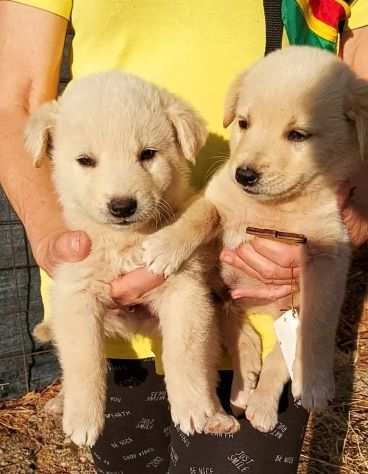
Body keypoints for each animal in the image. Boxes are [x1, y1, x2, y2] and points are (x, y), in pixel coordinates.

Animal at [25, 72, 239, 446]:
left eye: (148, 154)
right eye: (85, 161)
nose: (122, 206)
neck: (125, 242)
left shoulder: (186, 291)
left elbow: (185, 354)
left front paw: (192, 408)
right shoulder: (76, 295)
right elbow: (84, 361)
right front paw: (82, 418)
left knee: (208, 363)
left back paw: (216, 416)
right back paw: (61, 403)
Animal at [143, 47, 368, 434]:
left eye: (298, 135)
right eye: (243, 123)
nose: (244, 174)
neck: (274, 210)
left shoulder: (329, 251)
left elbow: (318, 323)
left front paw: (316, 382)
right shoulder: (219, 198)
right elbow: (197, 217)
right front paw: (164, 246)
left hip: (286, 306)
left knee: (279, 355)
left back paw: (261, 404)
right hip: (218, 291)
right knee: (241, 330)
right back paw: (244, 382)